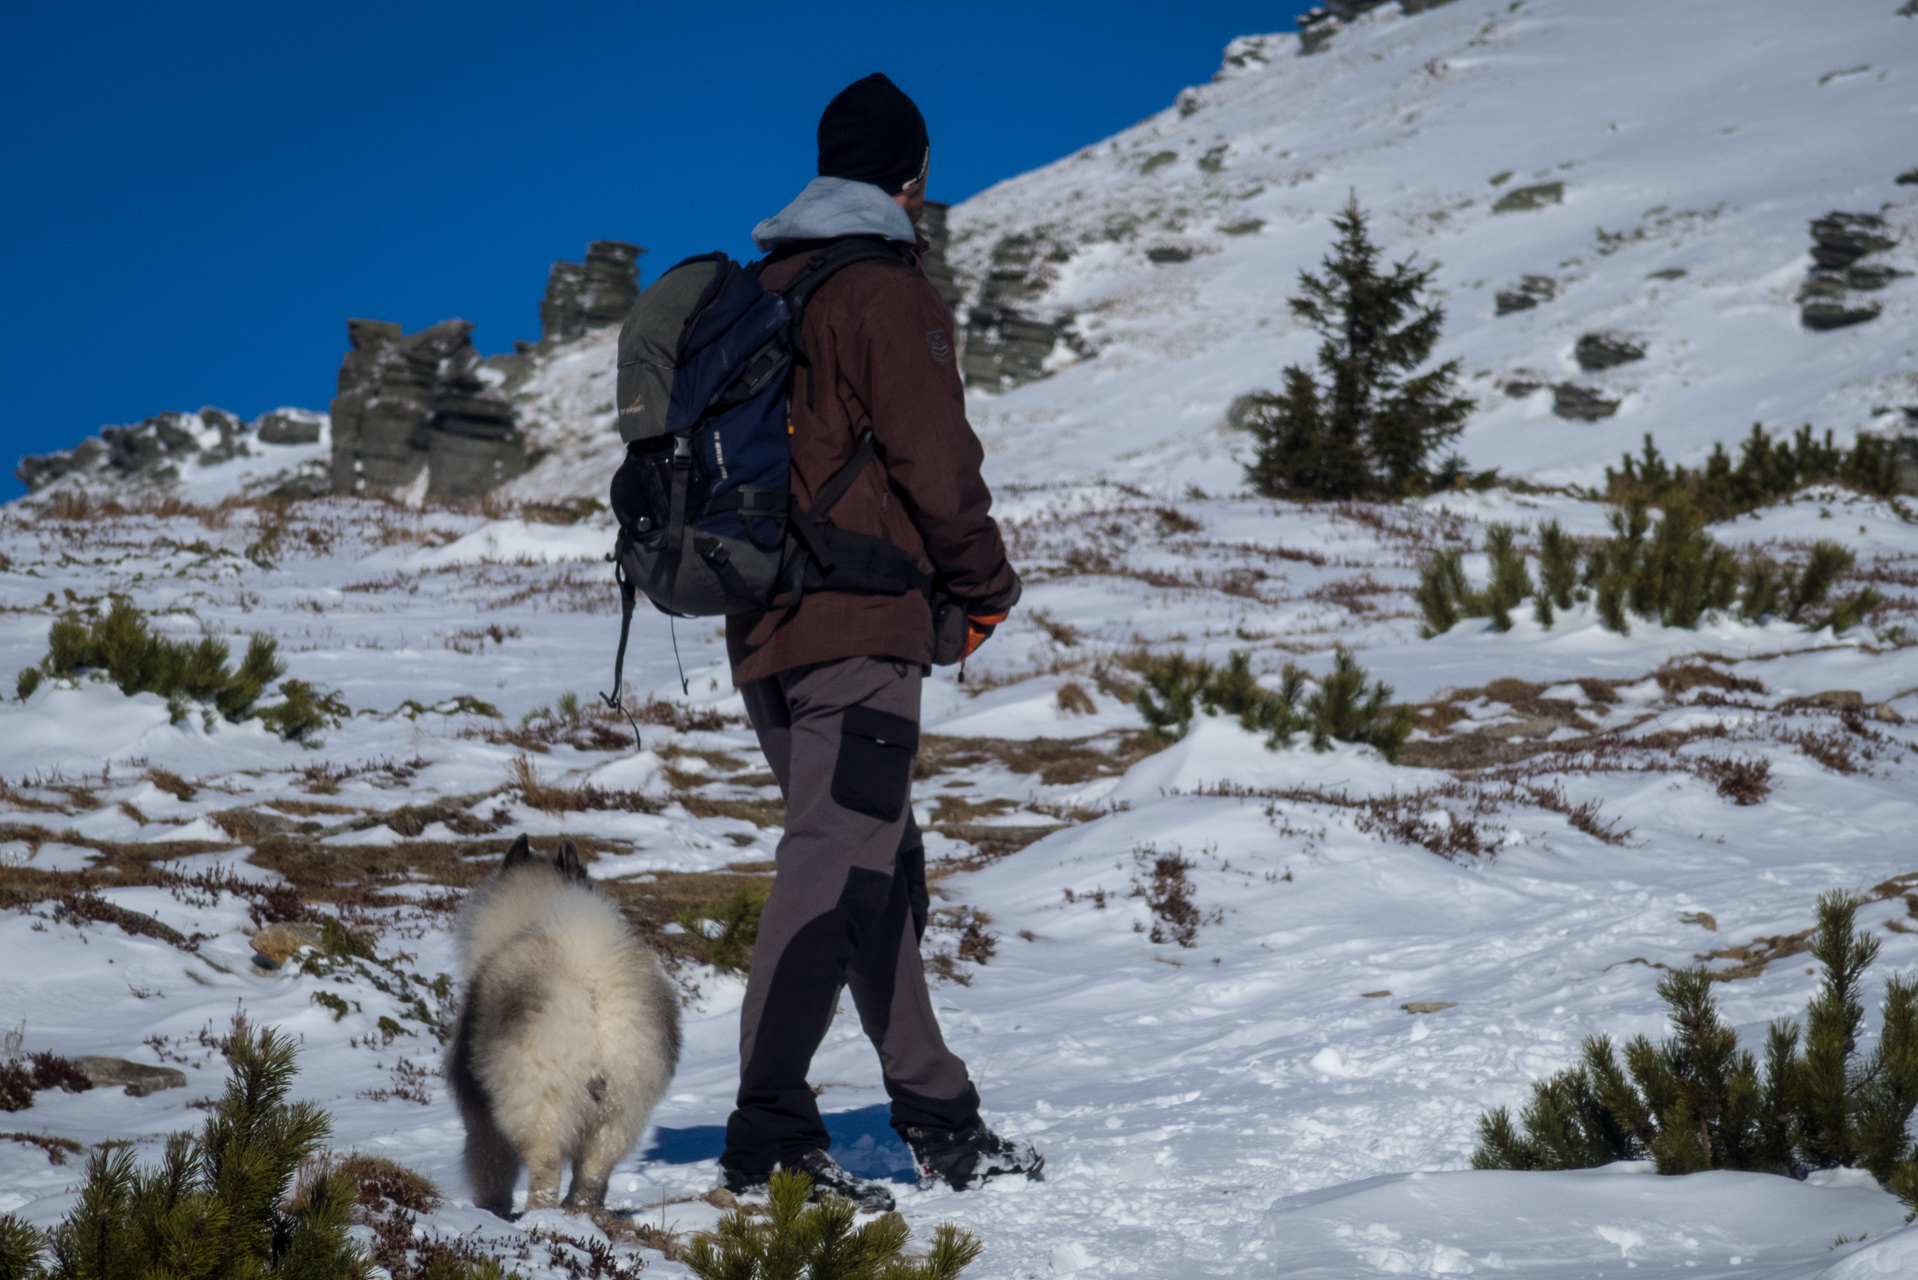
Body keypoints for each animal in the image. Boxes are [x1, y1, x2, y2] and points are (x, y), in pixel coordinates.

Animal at [441, 836, 682, 1220]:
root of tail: (591, 987)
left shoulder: (481, 1119)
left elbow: (491, 1171)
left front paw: (492, 1211)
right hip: (621, 1110)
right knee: (594, 1172)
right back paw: (580, 1211)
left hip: (538, 1103)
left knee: (545, 1167)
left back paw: (538, 1216)